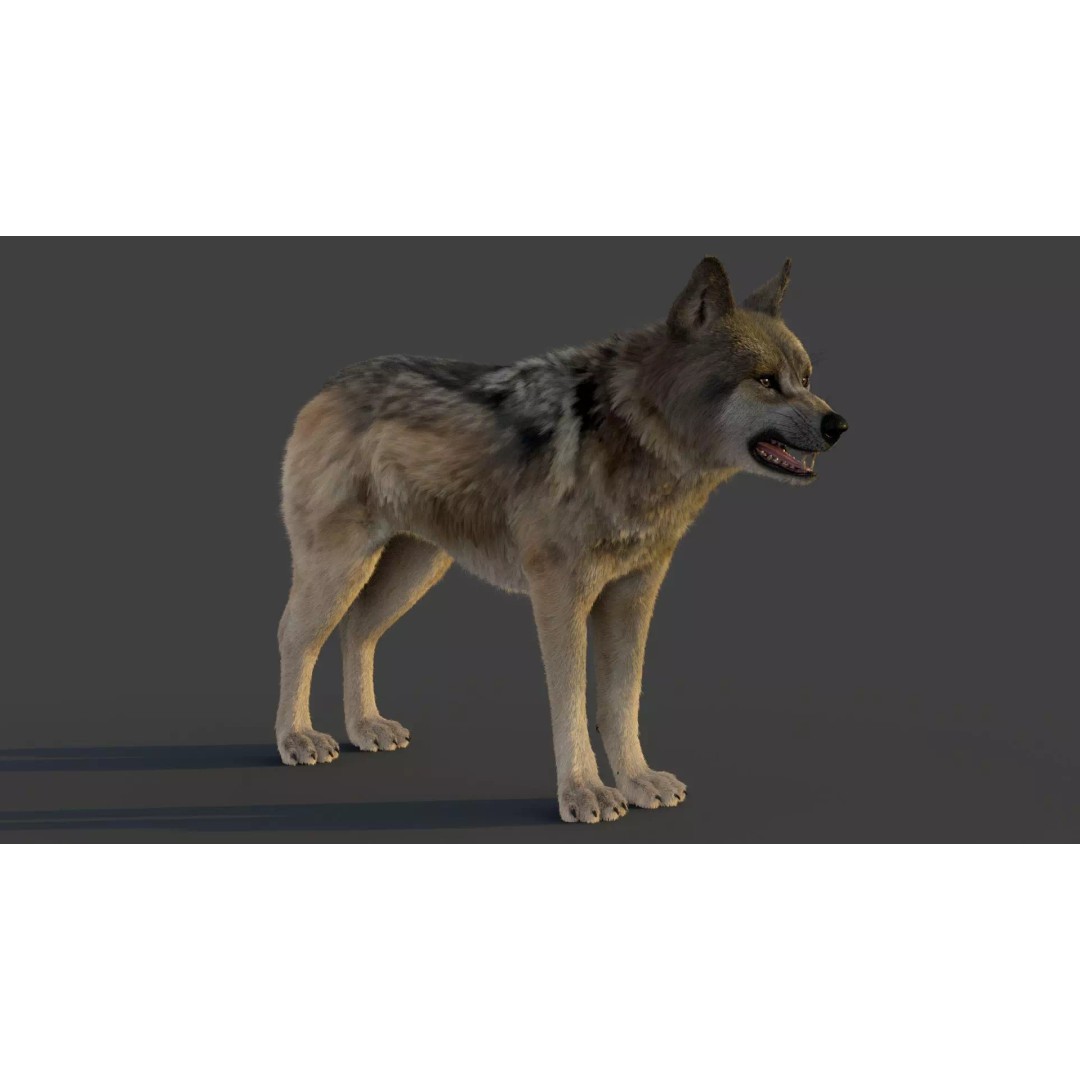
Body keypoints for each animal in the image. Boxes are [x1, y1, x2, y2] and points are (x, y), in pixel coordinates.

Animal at [274, 256, 847, 823]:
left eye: (806, 378)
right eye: (766, 381)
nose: (838, 424)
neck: (638, 433)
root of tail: (329, 385)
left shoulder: (633, 595)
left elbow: (622, 700)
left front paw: (638, 781)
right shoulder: (561, 595)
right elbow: (571, 701)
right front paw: (584, 793)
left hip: (415, 572)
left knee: (357, 630)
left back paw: (365, 728)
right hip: (342, 569)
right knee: (295, 636)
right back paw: (297, 738)